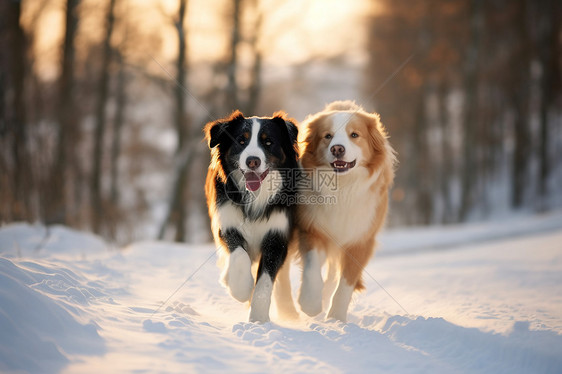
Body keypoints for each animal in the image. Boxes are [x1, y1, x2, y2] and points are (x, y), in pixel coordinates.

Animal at [203, 110, 300, 322]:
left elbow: (265, 282)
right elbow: (239, 255)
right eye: (241, 141)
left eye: (268, 142)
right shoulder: (227, 225)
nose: (252, 161)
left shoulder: (277, 237)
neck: (256, 196)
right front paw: (240, 288)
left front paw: (258, 318)